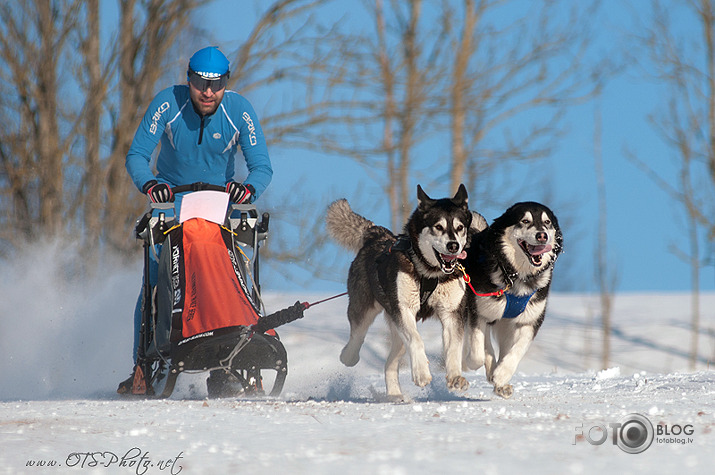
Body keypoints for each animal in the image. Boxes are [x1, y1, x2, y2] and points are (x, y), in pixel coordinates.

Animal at [328, 184, 486, 400]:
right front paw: (421, 373)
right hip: (365, 309)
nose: (453, 246)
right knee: (357, 338)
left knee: (390, 363)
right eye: (438, 227)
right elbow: (417, 340)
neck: (430, 273)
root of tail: (376, 234)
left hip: (397, 332)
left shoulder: (452, 313)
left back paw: (394, 393)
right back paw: (348, 356)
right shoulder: (404, 310)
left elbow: (454, 346)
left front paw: (455, 377)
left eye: (460, 227)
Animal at [464, 203, 564, 400]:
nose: (542, 235)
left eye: (547, 222)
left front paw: (502, 374)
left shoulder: (530, 321)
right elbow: (479, 351)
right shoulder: (478, 312)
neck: (517, 276)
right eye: (525, 221)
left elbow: (518, 350)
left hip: (506, 325)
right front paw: (473, 363)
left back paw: (500, 382)